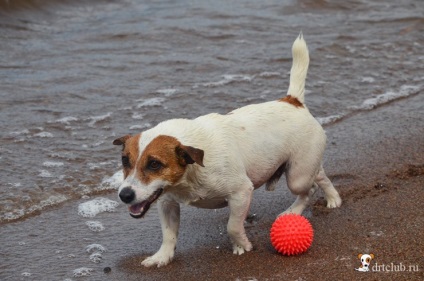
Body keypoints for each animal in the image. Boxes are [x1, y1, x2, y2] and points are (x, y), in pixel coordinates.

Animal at [112, 32, 342, 266]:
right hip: (302, 168)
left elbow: (232, 226)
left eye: (154, 164)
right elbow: (168, 234)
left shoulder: (241, 192)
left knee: (309, 188)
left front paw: (241, 245)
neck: (191, 172)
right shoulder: (167, 202)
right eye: (125, 161)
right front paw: (162, 256)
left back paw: (295, 210)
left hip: (297, 177)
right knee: (320, 174)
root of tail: (293, 102)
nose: (125, 195)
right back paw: (333, 198)